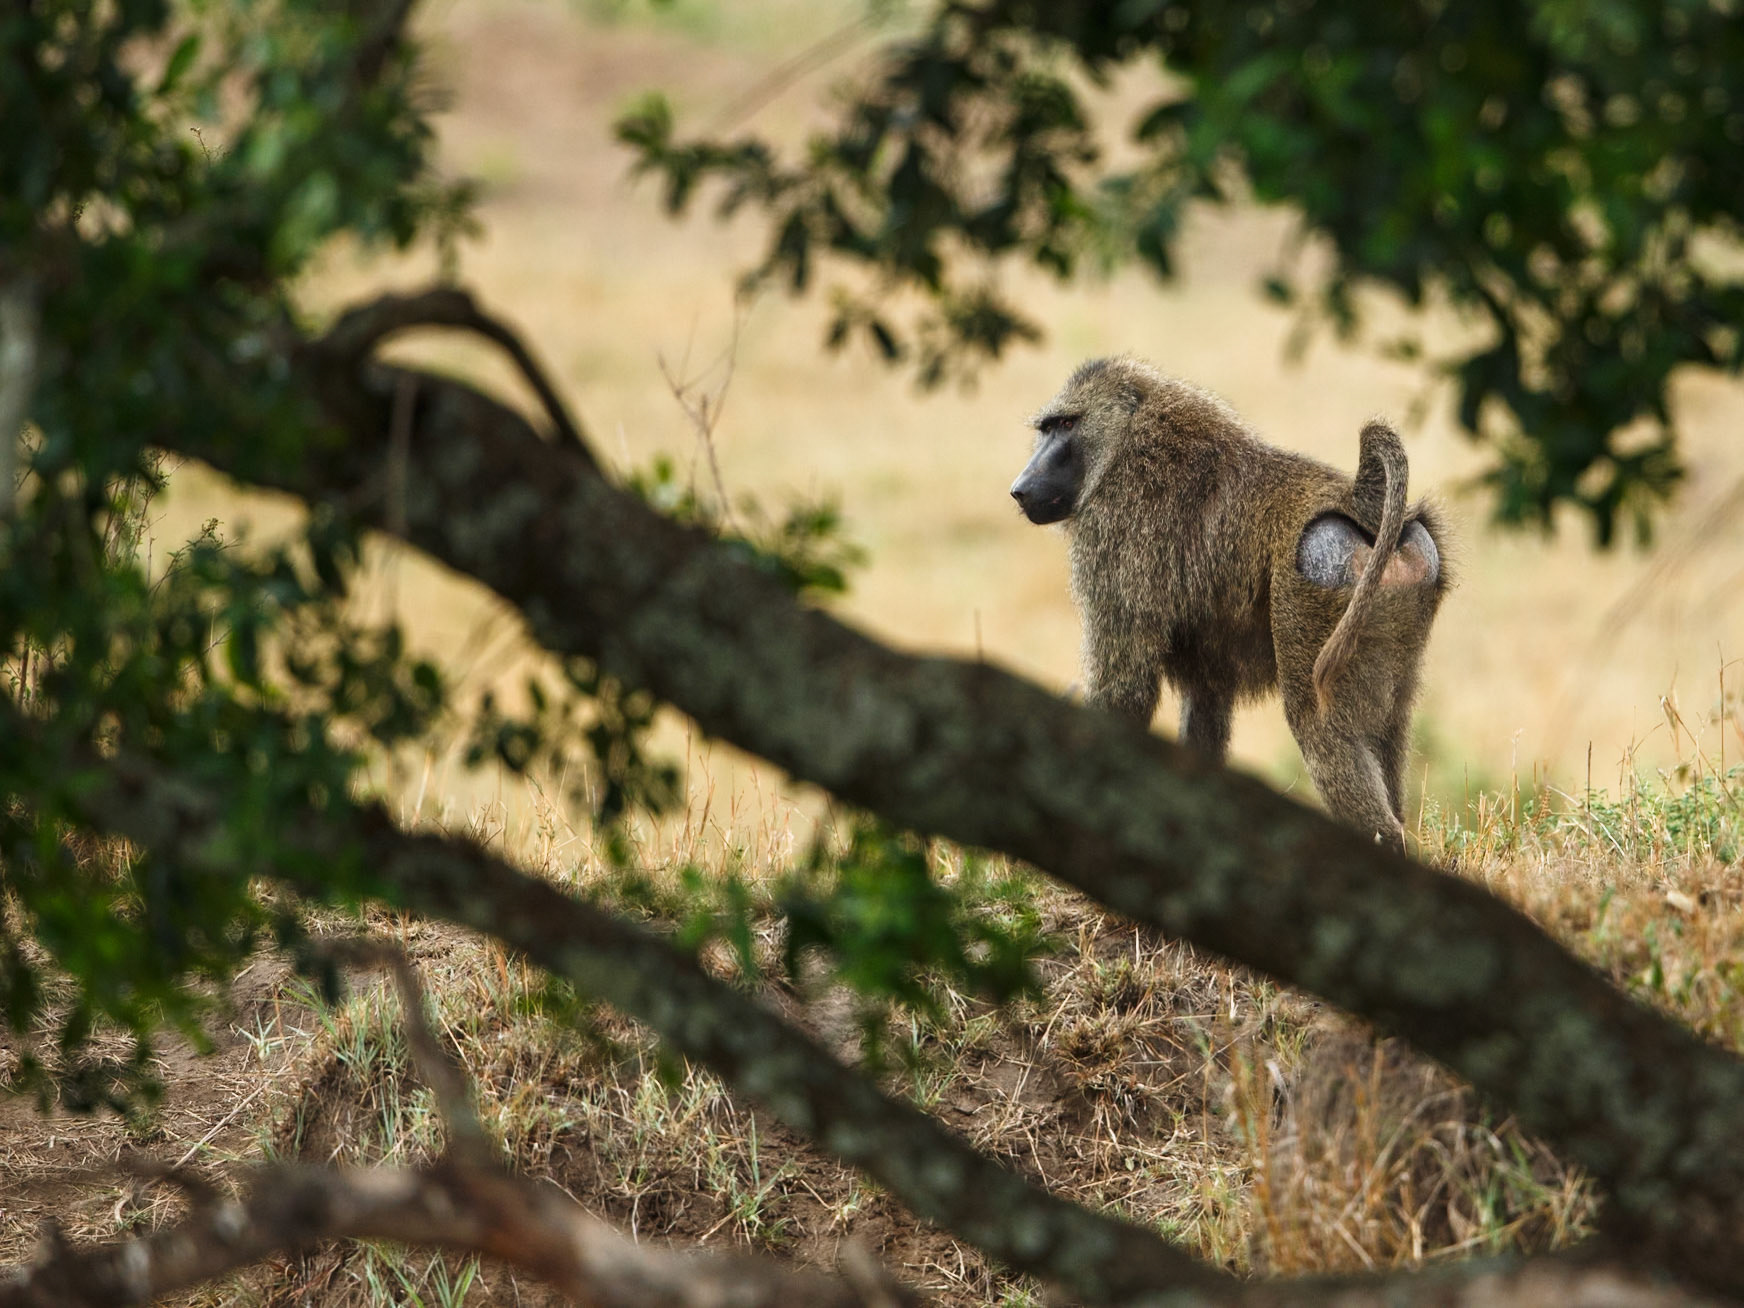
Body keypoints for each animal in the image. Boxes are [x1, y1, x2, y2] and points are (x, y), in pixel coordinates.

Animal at [1009, 357, 1446, 846]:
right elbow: (1206, 702)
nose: (1020, 488)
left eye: (1067, 424)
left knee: (1321, 730)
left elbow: (1124, 690)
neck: (1125, 440)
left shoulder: (1110, 533)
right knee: (1388, 730)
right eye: (1046, 429)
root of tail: (1359, 501)